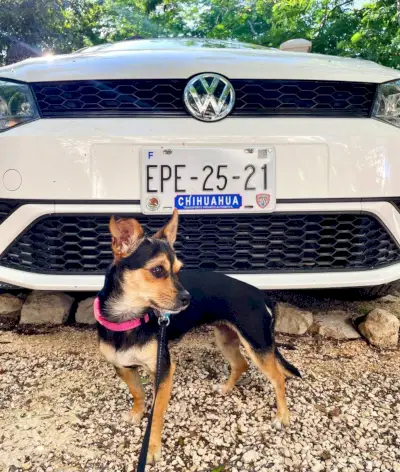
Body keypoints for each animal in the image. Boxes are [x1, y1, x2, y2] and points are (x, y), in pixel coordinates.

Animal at [94, 208, 300, 462]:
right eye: (158, 270)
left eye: (178, 271)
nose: (187, 298)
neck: (127, 318)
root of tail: (261, 295)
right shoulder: (123, 366)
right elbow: (137, 392)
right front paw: (136, 413)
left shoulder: (163, 370)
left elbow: (157, 414)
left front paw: (152, 448)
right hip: (225, 338)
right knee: (241, 364)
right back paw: (226, 389)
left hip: (256, 344)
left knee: (278, 378)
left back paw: (283, 416)